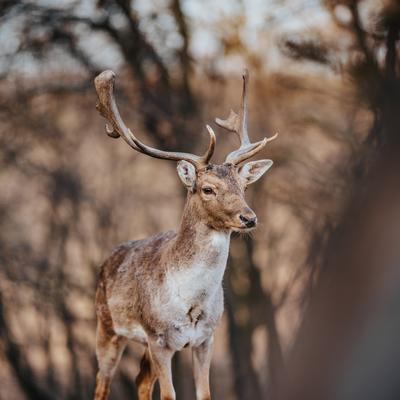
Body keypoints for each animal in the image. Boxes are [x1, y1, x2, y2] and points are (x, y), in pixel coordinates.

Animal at [93, 69, 278, 400]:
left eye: (243, 187)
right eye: (208, 189)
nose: (249, 218)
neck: (191, 304)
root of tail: (106, 260)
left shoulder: (206, 338)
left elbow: (204, 394)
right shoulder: (159, 338)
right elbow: (169, 395)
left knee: (141, 380)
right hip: (107, 326)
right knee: (102, 383)